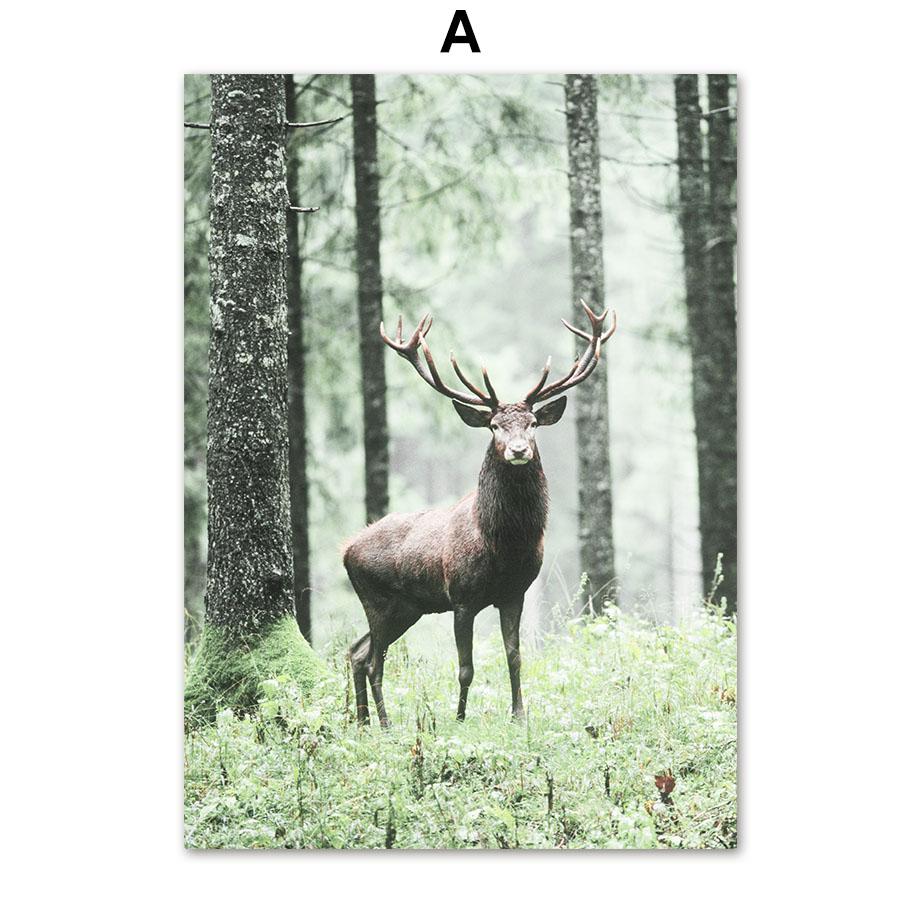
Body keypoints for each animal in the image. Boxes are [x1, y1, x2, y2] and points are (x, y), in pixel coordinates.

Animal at [343, 301, 616, 727]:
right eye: (493, 426)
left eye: (533, 423)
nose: (519, 449)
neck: (503, 546)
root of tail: (346, 549)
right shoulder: (461, 597)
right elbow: (465, 667)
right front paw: (459, 718)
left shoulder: (515, 593)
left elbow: (515, 656)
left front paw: (519, 715)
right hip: (379, 599)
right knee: (372, 660)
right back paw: (384, 724)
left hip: (408, 607)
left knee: (357, 652)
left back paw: (363, 722)